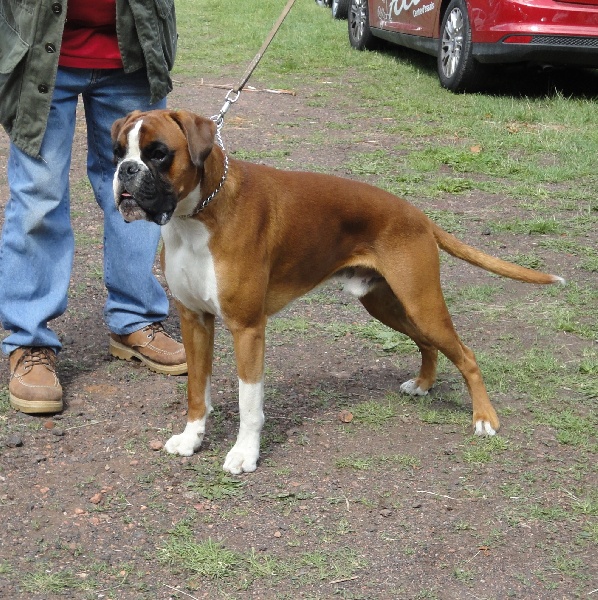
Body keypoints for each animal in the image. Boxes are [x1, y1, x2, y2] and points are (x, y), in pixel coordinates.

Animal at [112, 109, 568, 474]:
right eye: (118, 152)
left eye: (158, 153)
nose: (126, 171)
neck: (196, 216)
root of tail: (418, 215)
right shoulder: (195, 320)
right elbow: (196, 390)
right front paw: (191, 439)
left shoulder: (247, 328)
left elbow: (249, 403)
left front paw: (244, 454)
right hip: (387, 305)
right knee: (428, 344)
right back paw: (423, 385)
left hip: (421, 303)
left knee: (467, 354)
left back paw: (484, 418)